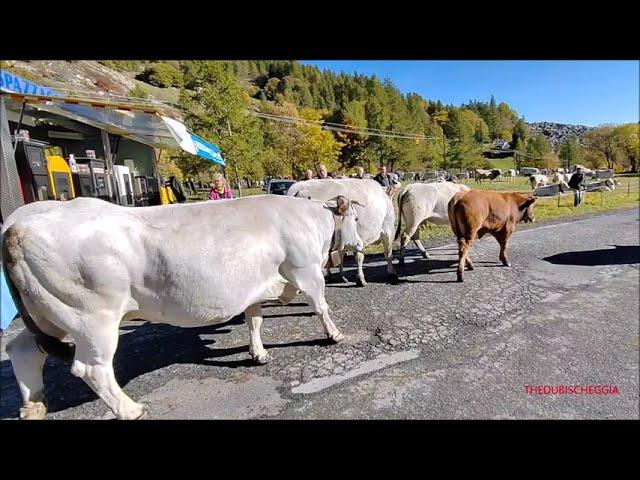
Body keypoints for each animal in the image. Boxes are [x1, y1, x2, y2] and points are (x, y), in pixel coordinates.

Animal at [1, 195, 364, 420]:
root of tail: (18, 224)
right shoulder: (305, 270)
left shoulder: (255, 287)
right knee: (92, 369)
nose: (361, 244)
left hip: (46, 313)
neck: (313, 222)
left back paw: (33, 405)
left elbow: (254, 321)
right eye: (357, 218)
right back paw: (130, 410)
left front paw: (258, 353)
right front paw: (335, 335)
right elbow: (320, 305)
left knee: (22, 349)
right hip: (93, 316)